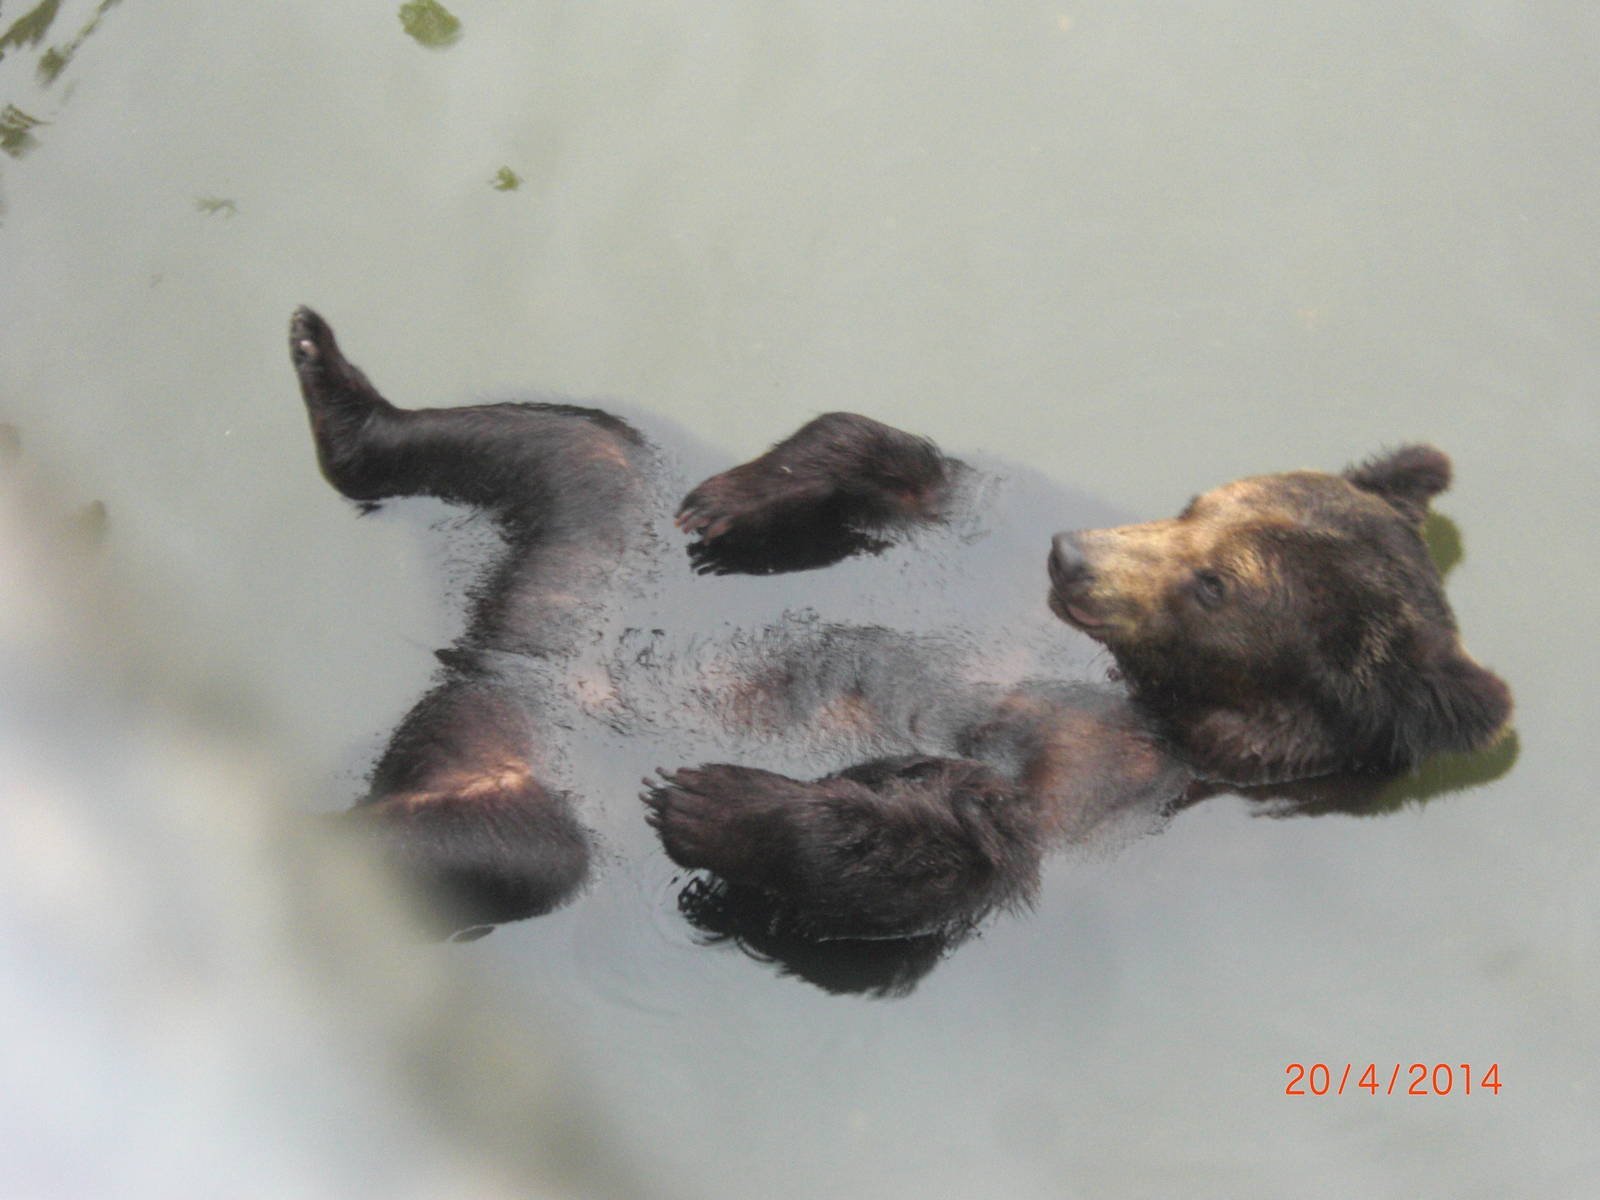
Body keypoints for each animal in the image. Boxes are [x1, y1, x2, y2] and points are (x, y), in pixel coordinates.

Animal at [286, 307, 1512, 946]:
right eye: (1195, 503)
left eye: (1216, 586)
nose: (1073, 559)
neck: (1139, 684)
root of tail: (499, 669)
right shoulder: (991, 519)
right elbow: (889, 449)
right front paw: (738, 494)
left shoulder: (1105, 780)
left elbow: (942, 853)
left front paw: (709, 797)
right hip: (597, 532)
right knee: (561, 437)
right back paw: (330, 372)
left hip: (537, 794)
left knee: (496, 852)